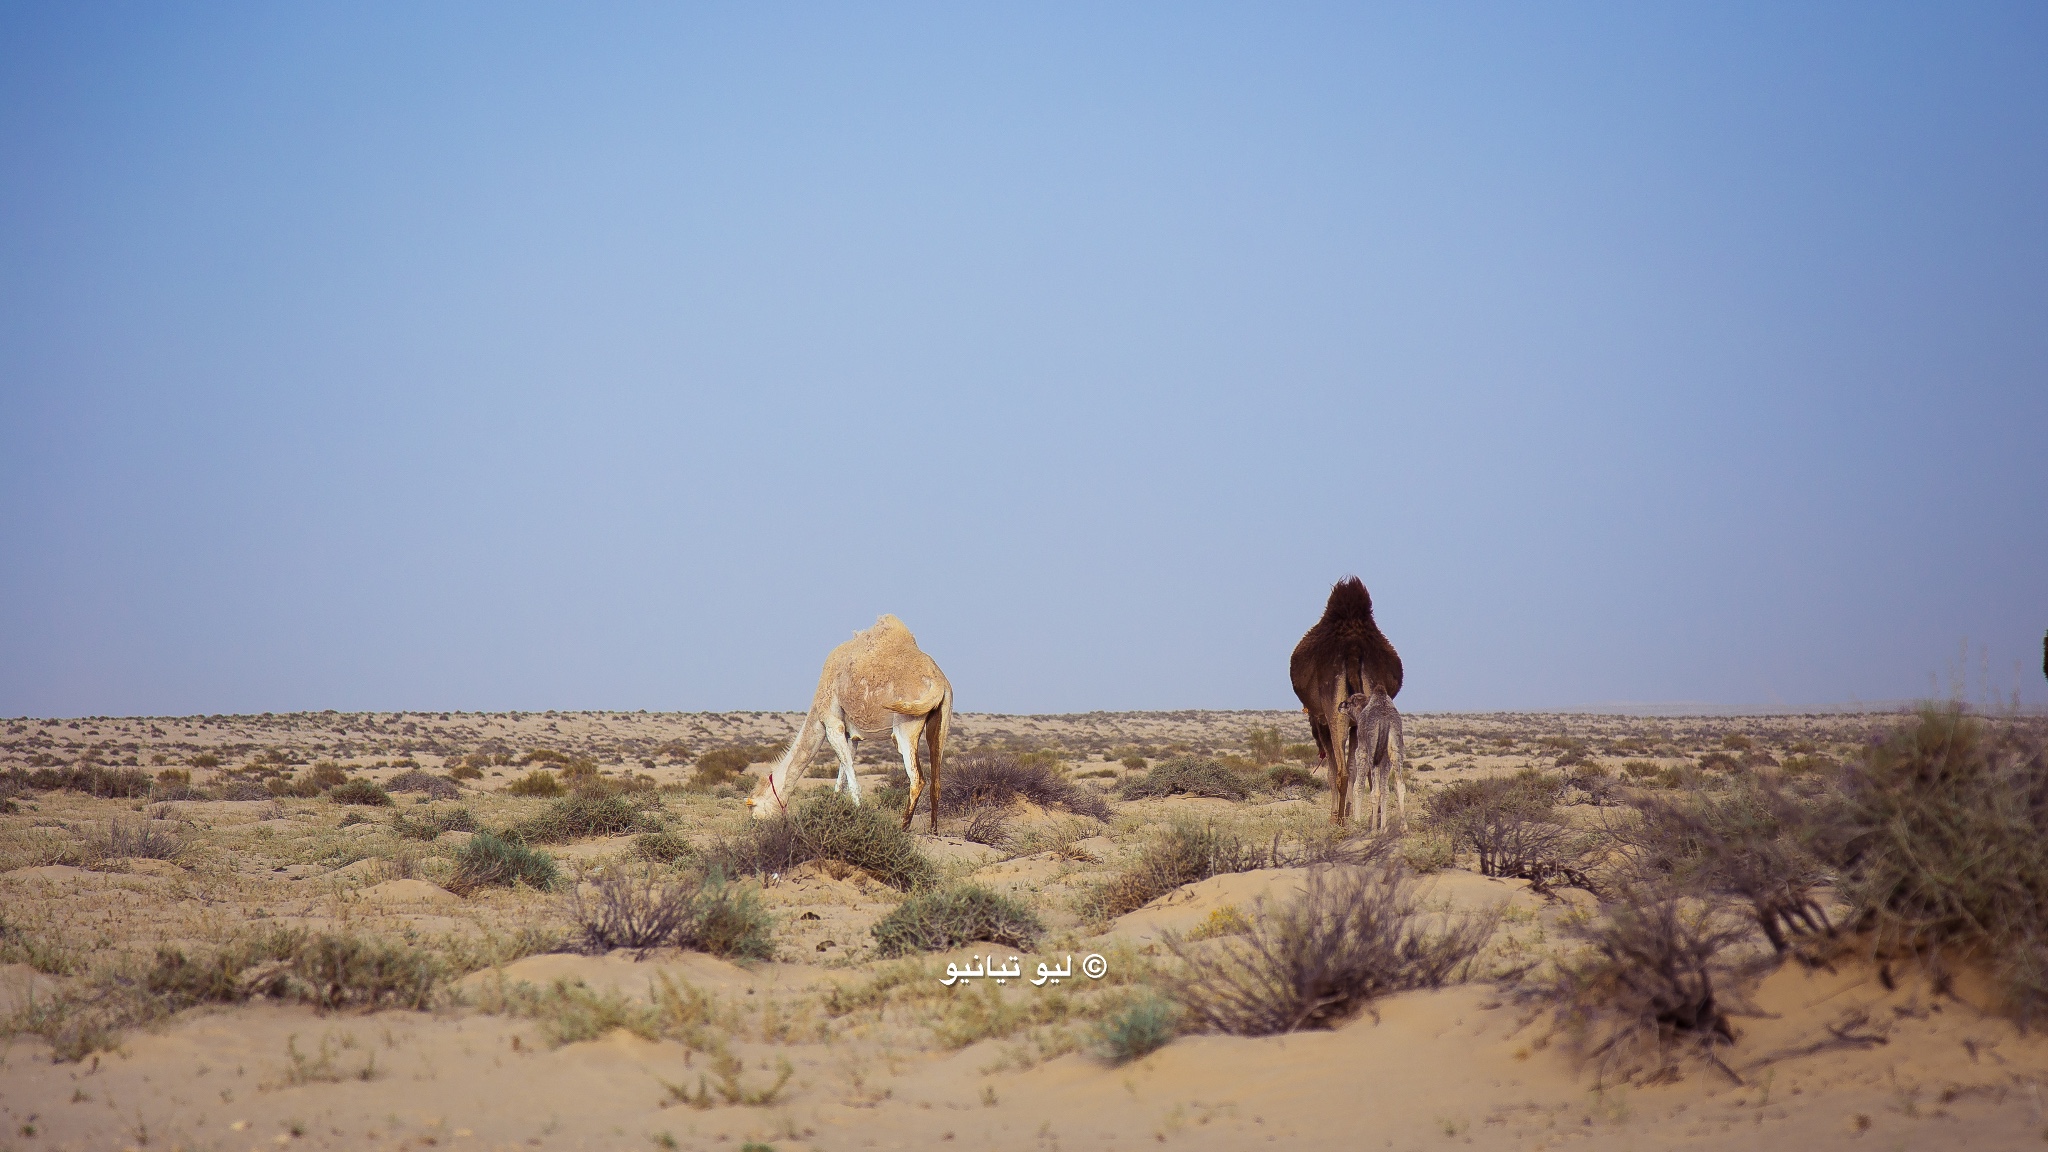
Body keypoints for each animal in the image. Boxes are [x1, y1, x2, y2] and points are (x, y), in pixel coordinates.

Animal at [745, 614, 950, 828]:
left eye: (754, 812)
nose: (754, 826)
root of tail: (938, 682)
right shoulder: (851, 736)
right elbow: (841, 778)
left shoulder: (832, 725)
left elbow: (852, 781)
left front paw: (861, 818)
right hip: (941, 722)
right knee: (936, 778)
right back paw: (933, 829)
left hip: (905, 727)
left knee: (917, 779)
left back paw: (903, 828)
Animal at [1335, 684, 1400, 828]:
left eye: (1349, 702)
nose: (1340, 706)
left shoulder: (1362, 751)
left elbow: (1357, 786)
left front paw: (1357, 820)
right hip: (1393, 753)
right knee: (1391, 789)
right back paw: (1385, 826)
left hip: (1373, 753)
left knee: (1375, 790)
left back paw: (1374, 827)